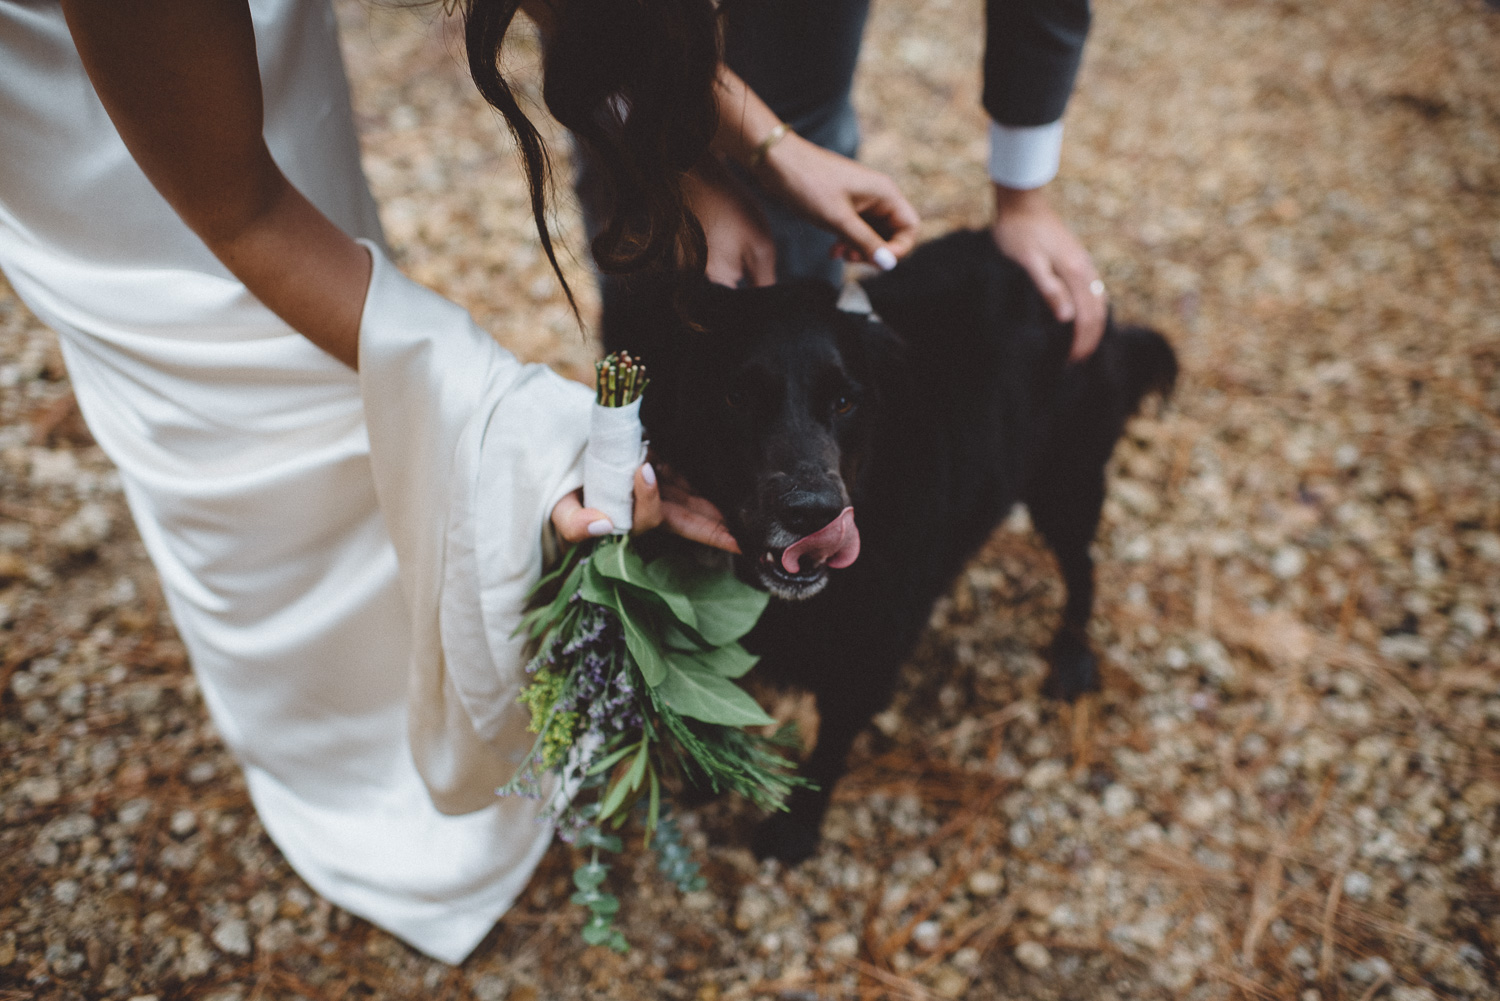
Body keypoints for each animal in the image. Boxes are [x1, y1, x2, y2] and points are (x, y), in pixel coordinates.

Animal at [603, 231, 1176, 864]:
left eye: (845, 401)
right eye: (737, 396)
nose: (814, 513)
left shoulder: (871, 648)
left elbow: (830, 745)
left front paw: (795, 828)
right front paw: (712, 776)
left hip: (1066, 482)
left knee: (1083, 569)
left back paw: (1072, 660)